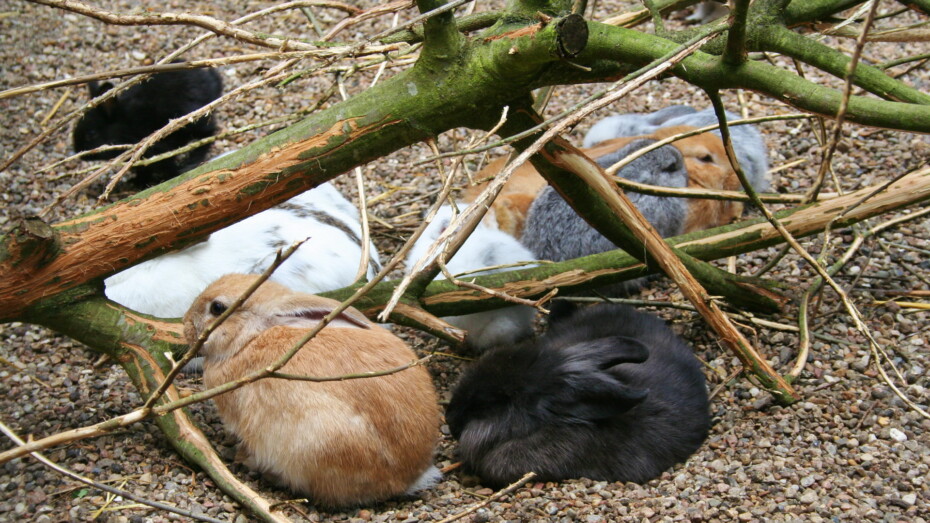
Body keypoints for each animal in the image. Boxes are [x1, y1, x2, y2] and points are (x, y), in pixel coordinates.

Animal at [72, 64, 223, 189]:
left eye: (91, 134)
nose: (79, 154)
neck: (124, 125)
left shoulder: (155, 150)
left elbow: (164, 166)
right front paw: (137, 182)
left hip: (195, 121)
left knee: (208, 134)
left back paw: (192, 161)